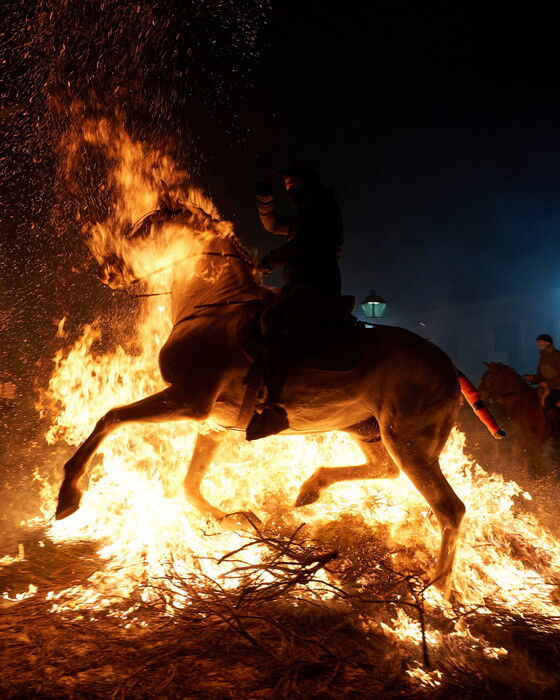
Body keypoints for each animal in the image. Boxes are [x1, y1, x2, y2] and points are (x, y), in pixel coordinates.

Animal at [55, 198, 476, 596]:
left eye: (146, 228)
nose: (106, 269)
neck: (214, 303)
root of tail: (448, 364)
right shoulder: (212, 424)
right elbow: (189, 483)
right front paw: (234, 518)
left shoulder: (187, 399)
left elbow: (110, 417)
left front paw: (68, 495)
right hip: (367, 430)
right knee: (384, 471)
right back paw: (310, 489)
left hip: (408, 441)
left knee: (449, 509)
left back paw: (439, 587)